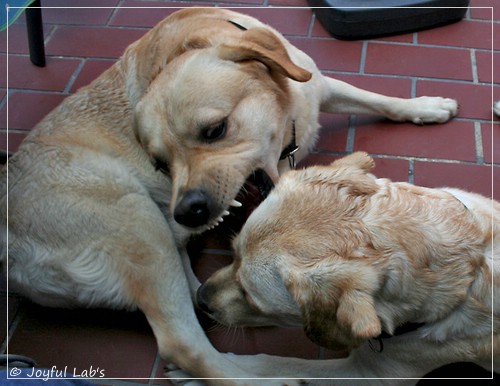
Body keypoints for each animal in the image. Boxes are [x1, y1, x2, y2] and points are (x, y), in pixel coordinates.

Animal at [0, 7, 458, 384]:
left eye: (214, 130)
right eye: (160, 164)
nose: (186, 212)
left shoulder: (316, 85)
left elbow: (372, 96)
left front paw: (426, 106)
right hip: (138, 223)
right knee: (185, 345)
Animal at [197, 153, 498, 382]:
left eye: (250, 297)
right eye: (233, 253)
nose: (200, 297)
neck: (469, 263)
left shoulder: (368, 376)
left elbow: (277, 363)